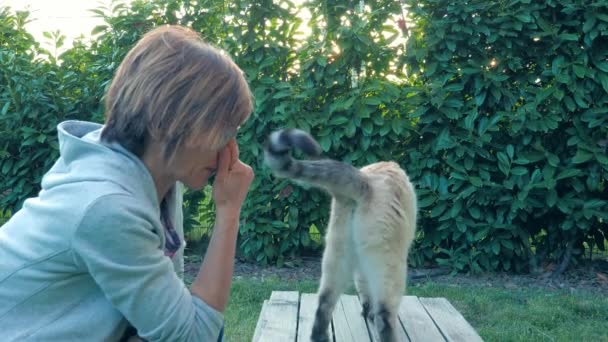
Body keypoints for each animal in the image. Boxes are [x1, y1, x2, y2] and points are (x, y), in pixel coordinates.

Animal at [264, 129, 416, 342]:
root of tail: (365, 182)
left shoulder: (360, 271)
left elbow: (364, 294)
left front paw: (366, 312)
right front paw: (369, 314)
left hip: (336, 256)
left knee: (324, 302)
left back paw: (320, 337)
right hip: (391, 268)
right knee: (385, 315)